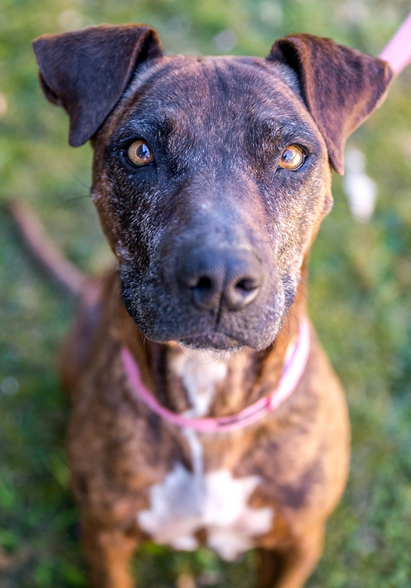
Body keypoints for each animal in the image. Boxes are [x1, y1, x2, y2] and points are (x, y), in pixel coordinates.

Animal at [31, 23, 392, 588]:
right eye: (140, 152)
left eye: (291, 156)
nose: (221, 279)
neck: (210, 400)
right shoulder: (104, 539)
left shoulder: (298, 543)